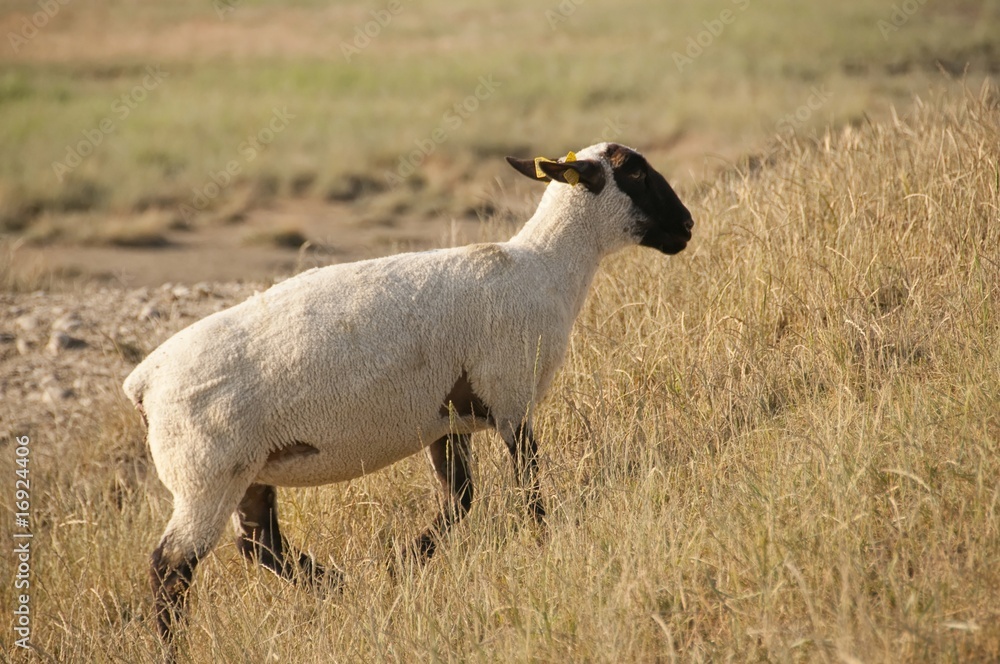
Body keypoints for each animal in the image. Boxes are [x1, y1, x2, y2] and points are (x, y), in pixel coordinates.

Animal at [123, 141, 694, 648]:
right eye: (636, 172)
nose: (687, 226)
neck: (545, 267)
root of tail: (143, 383)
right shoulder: (511, 398)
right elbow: (529, 488)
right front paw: (542, 547)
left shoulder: (448, 418)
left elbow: (459, 500)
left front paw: (401, 566)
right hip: (204, 476)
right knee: (170, 569)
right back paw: (176, 646)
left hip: (247, 471)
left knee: (259, 542)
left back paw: (340, 587)